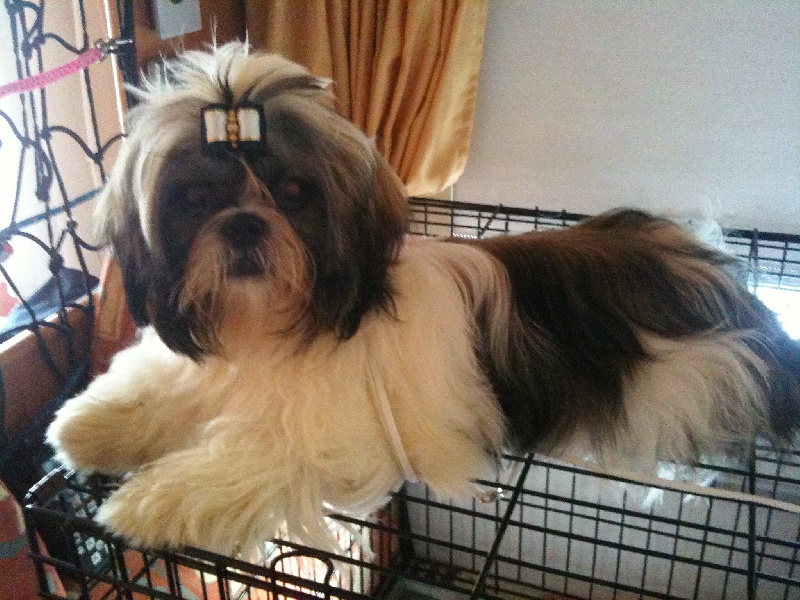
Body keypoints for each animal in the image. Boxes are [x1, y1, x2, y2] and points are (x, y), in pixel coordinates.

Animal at [47, 42, 800, 556]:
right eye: (196, 198)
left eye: (293, 193)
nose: (243, 224)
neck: (272, 326)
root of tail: (708, 266)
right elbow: (163, 383)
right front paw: (90, 426)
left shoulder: (336, 440)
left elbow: (259, 457)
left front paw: (148, 502)